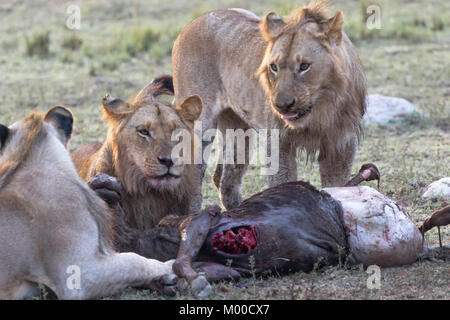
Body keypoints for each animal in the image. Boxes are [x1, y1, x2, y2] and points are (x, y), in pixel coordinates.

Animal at [172, 0, 366, 210]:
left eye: (304, 66)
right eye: (274, 67)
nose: (281, 105)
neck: (321, 112)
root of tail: (192, 23)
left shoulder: (342, 144)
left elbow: (337, 186)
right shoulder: (278, 142)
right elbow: (284, 183)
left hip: (239, 129)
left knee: (225, 179)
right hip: (201, 123)